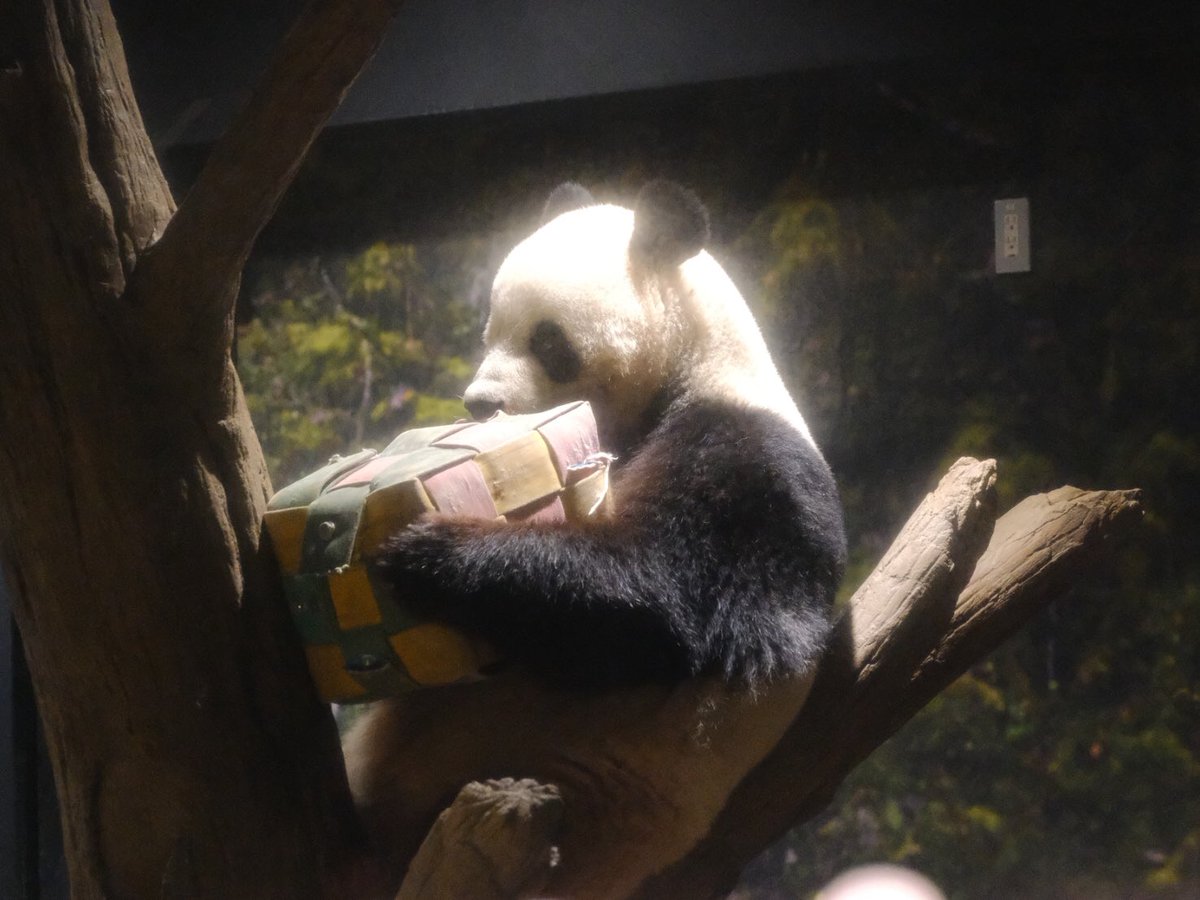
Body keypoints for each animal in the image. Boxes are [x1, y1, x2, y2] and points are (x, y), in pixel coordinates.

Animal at [343, 180, 846, 899]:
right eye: (490, 329)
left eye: (548, 340)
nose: (482, 404)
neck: (694, 360)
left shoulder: (743, 465)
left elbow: (654, 607)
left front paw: (429, 549)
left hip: (563, 771)